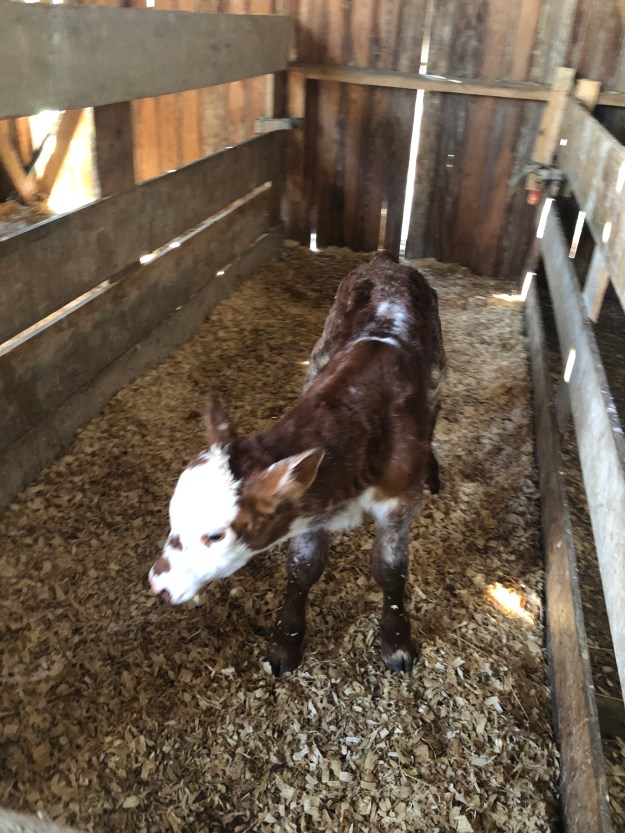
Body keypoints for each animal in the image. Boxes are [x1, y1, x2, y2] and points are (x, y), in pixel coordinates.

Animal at [149, 251, 446, 675]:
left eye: (216, 535)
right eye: (173, 519)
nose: (158, 585)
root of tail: (388, 261)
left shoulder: (399, 503)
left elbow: (390, 570)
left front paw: (396, 641)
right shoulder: (310, 501)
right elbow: (303, 567)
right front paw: (285, 641)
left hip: (438, 368)